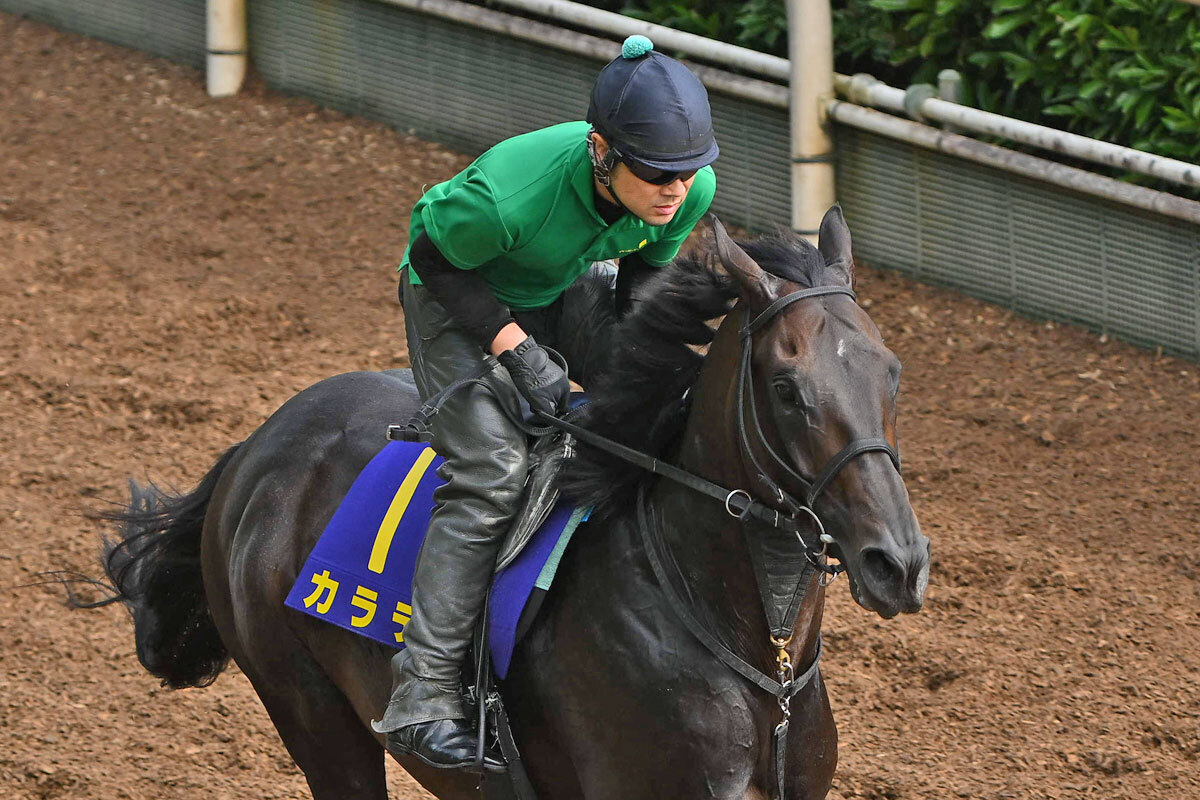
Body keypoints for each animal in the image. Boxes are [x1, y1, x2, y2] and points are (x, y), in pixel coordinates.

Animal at [100, 208, 926, 800]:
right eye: (787, 390)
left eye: (892, 372)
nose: (898, 563)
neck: (755, 655)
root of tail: (259, 446)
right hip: (314, 715)